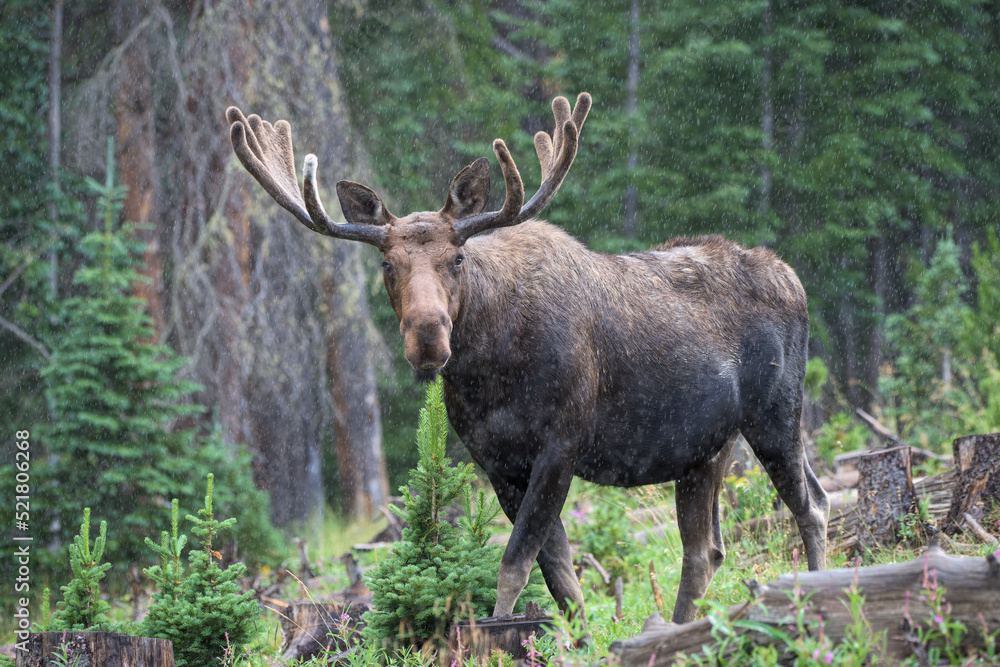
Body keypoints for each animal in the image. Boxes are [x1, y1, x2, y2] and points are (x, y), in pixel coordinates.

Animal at [227, 92, 828, 628]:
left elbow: (516, 563)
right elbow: (559, 575)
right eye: (386, 264)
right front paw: (577, 639)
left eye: (458, 258)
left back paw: (816, 594)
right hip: (706, 450)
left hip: (777, 414)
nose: (428, 338)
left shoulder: (561, 444)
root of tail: (795, 277)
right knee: (707, 550)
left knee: (811, 507)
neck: (491, 373)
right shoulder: (497, 462)